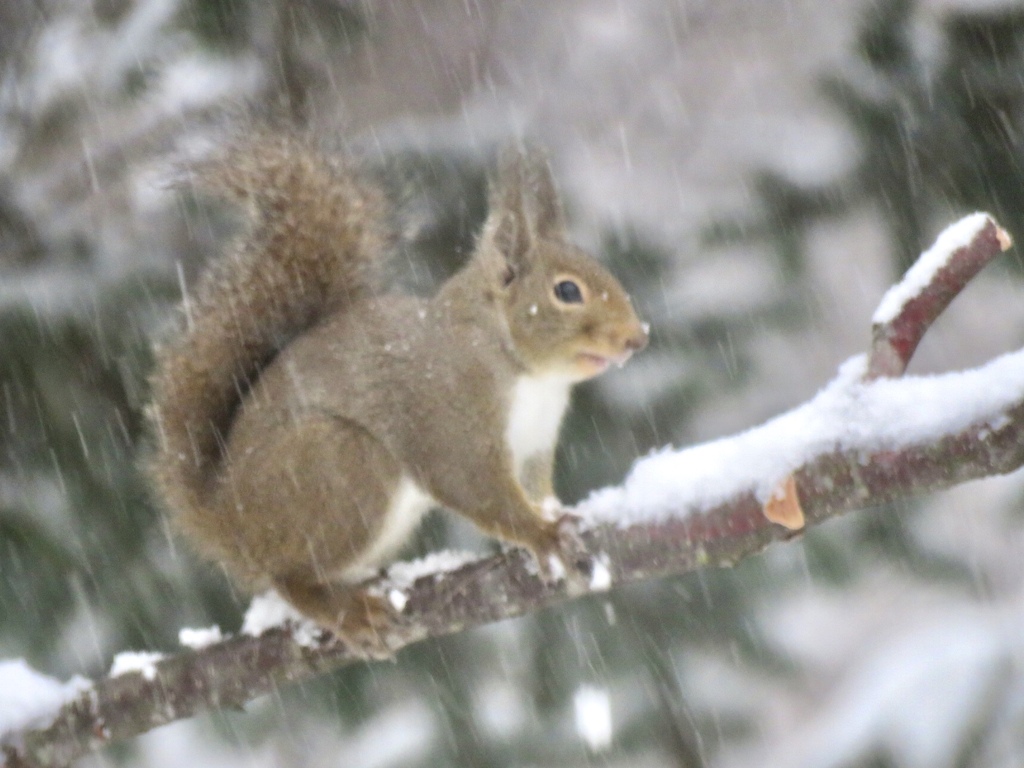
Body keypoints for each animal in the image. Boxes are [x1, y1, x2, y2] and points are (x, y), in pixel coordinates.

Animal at [144, 134, 643, 655]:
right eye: (567, 291)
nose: (637, 338)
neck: (525, 371)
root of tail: (224, 517)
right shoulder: (451, 416)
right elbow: (476, 486)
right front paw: (542, 534)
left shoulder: (534, 443)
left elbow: (534, 489)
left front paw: (557, 516)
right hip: (339, 469)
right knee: (288, 576)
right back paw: (346, 612)